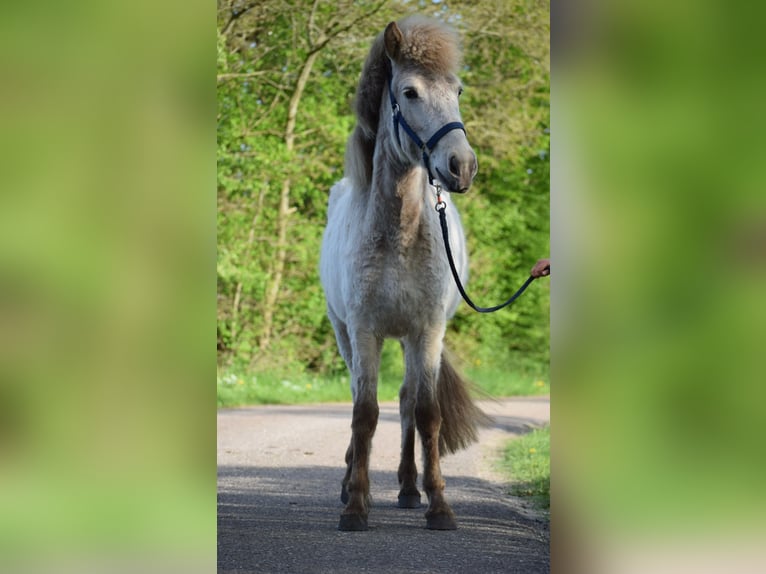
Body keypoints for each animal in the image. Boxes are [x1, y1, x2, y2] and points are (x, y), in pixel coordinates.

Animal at [320, 15, 488, 532]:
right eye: (410, 92)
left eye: (457, 89)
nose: (461, 165)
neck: (399, 233)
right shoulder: (364, 331)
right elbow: (363, 413)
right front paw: (356, 504)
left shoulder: (427, 331)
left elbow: (427, 412)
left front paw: (439, 505)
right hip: (345, 335)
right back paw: (351, 482)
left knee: (407, 401)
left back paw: (411, 488)